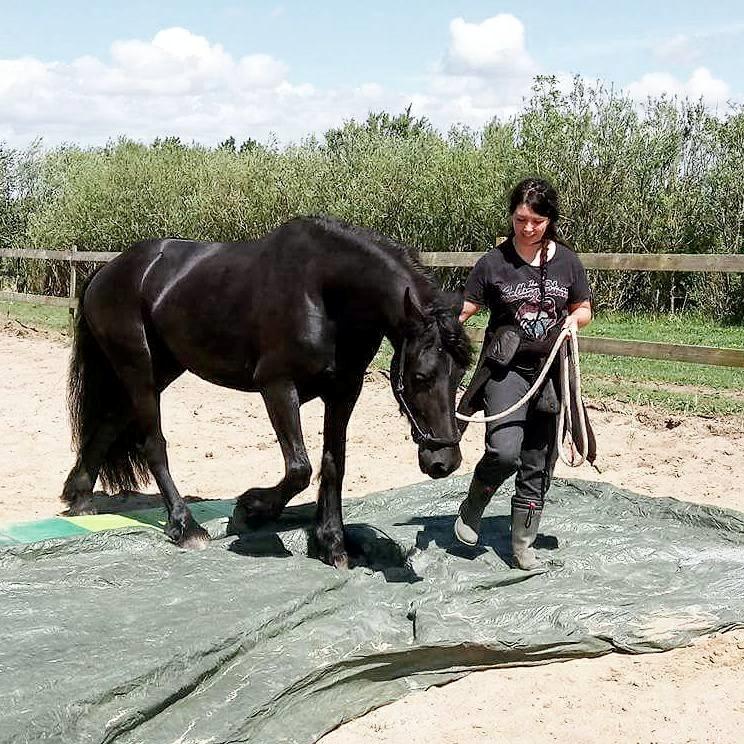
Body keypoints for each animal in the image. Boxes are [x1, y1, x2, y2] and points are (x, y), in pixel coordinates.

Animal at [62, 218, 470, 568]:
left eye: (461, 374)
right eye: (420, 376)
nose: (445, 462)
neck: (323, 292)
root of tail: (108, 271)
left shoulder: (344, 391)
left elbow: (333, 463)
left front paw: (332, 543)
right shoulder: (277, 386)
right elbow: (300, 469)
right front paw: (251, 509)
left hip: (161, 368)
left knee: (111, 422)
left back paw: (80, 496)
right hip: (140, 370)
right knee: (153, 443)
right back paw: (185, 526)